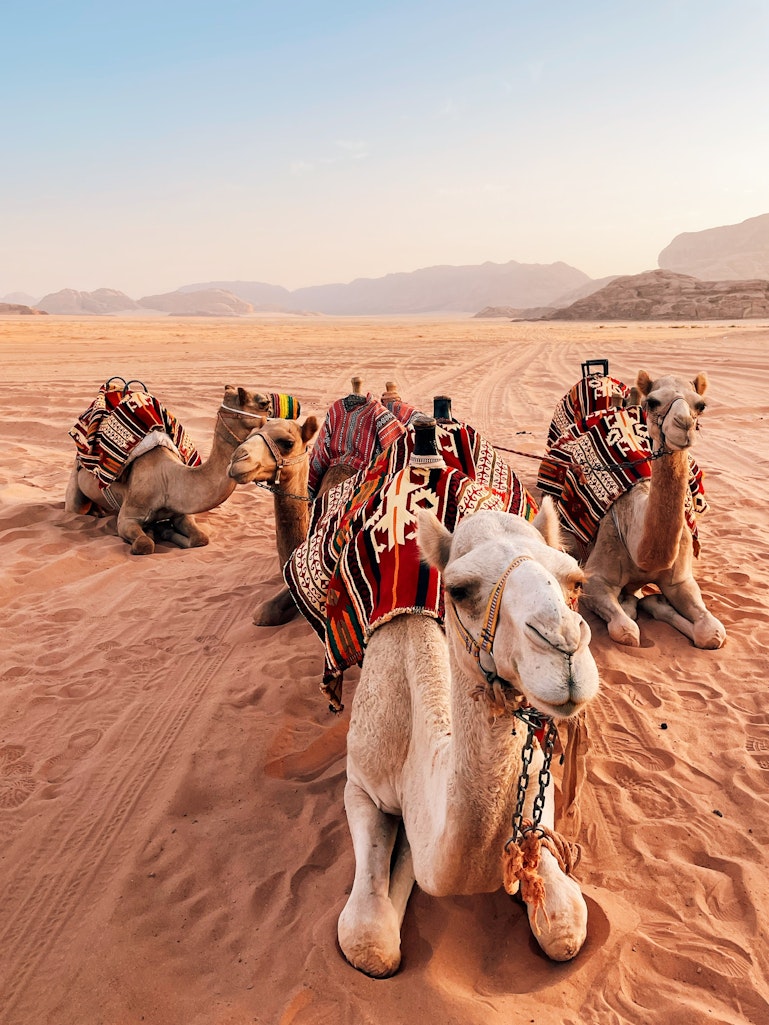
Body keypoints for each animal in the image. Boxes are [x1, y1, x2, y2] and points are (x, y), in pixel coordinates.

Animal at [65, 385, 274, 555]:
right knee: (75, 508)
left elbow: (200, 539)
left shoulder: (181, 512)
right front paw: (152, 532)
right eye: (263, 403)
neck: (167, 480)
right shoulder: (128, 517)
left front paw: (163, 530)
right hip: (75, 483)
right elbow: (144, 544)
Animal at [337, 501, 600, 977]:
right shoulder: (361, 784)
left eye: (576, 580)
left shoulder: (537, 773)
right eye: (459, 589)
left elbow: (565, 928)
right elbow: (370, 943)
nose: (565, 645)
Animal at [565, 371, 726, 649]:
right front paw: (631, 604)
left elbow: (712, 632)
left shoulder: (682, 580)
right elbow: (626, 630)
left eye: (701, 405)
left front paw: (653, 601)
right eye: (652, 402)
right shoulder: (595, 578)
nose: (683, 424)